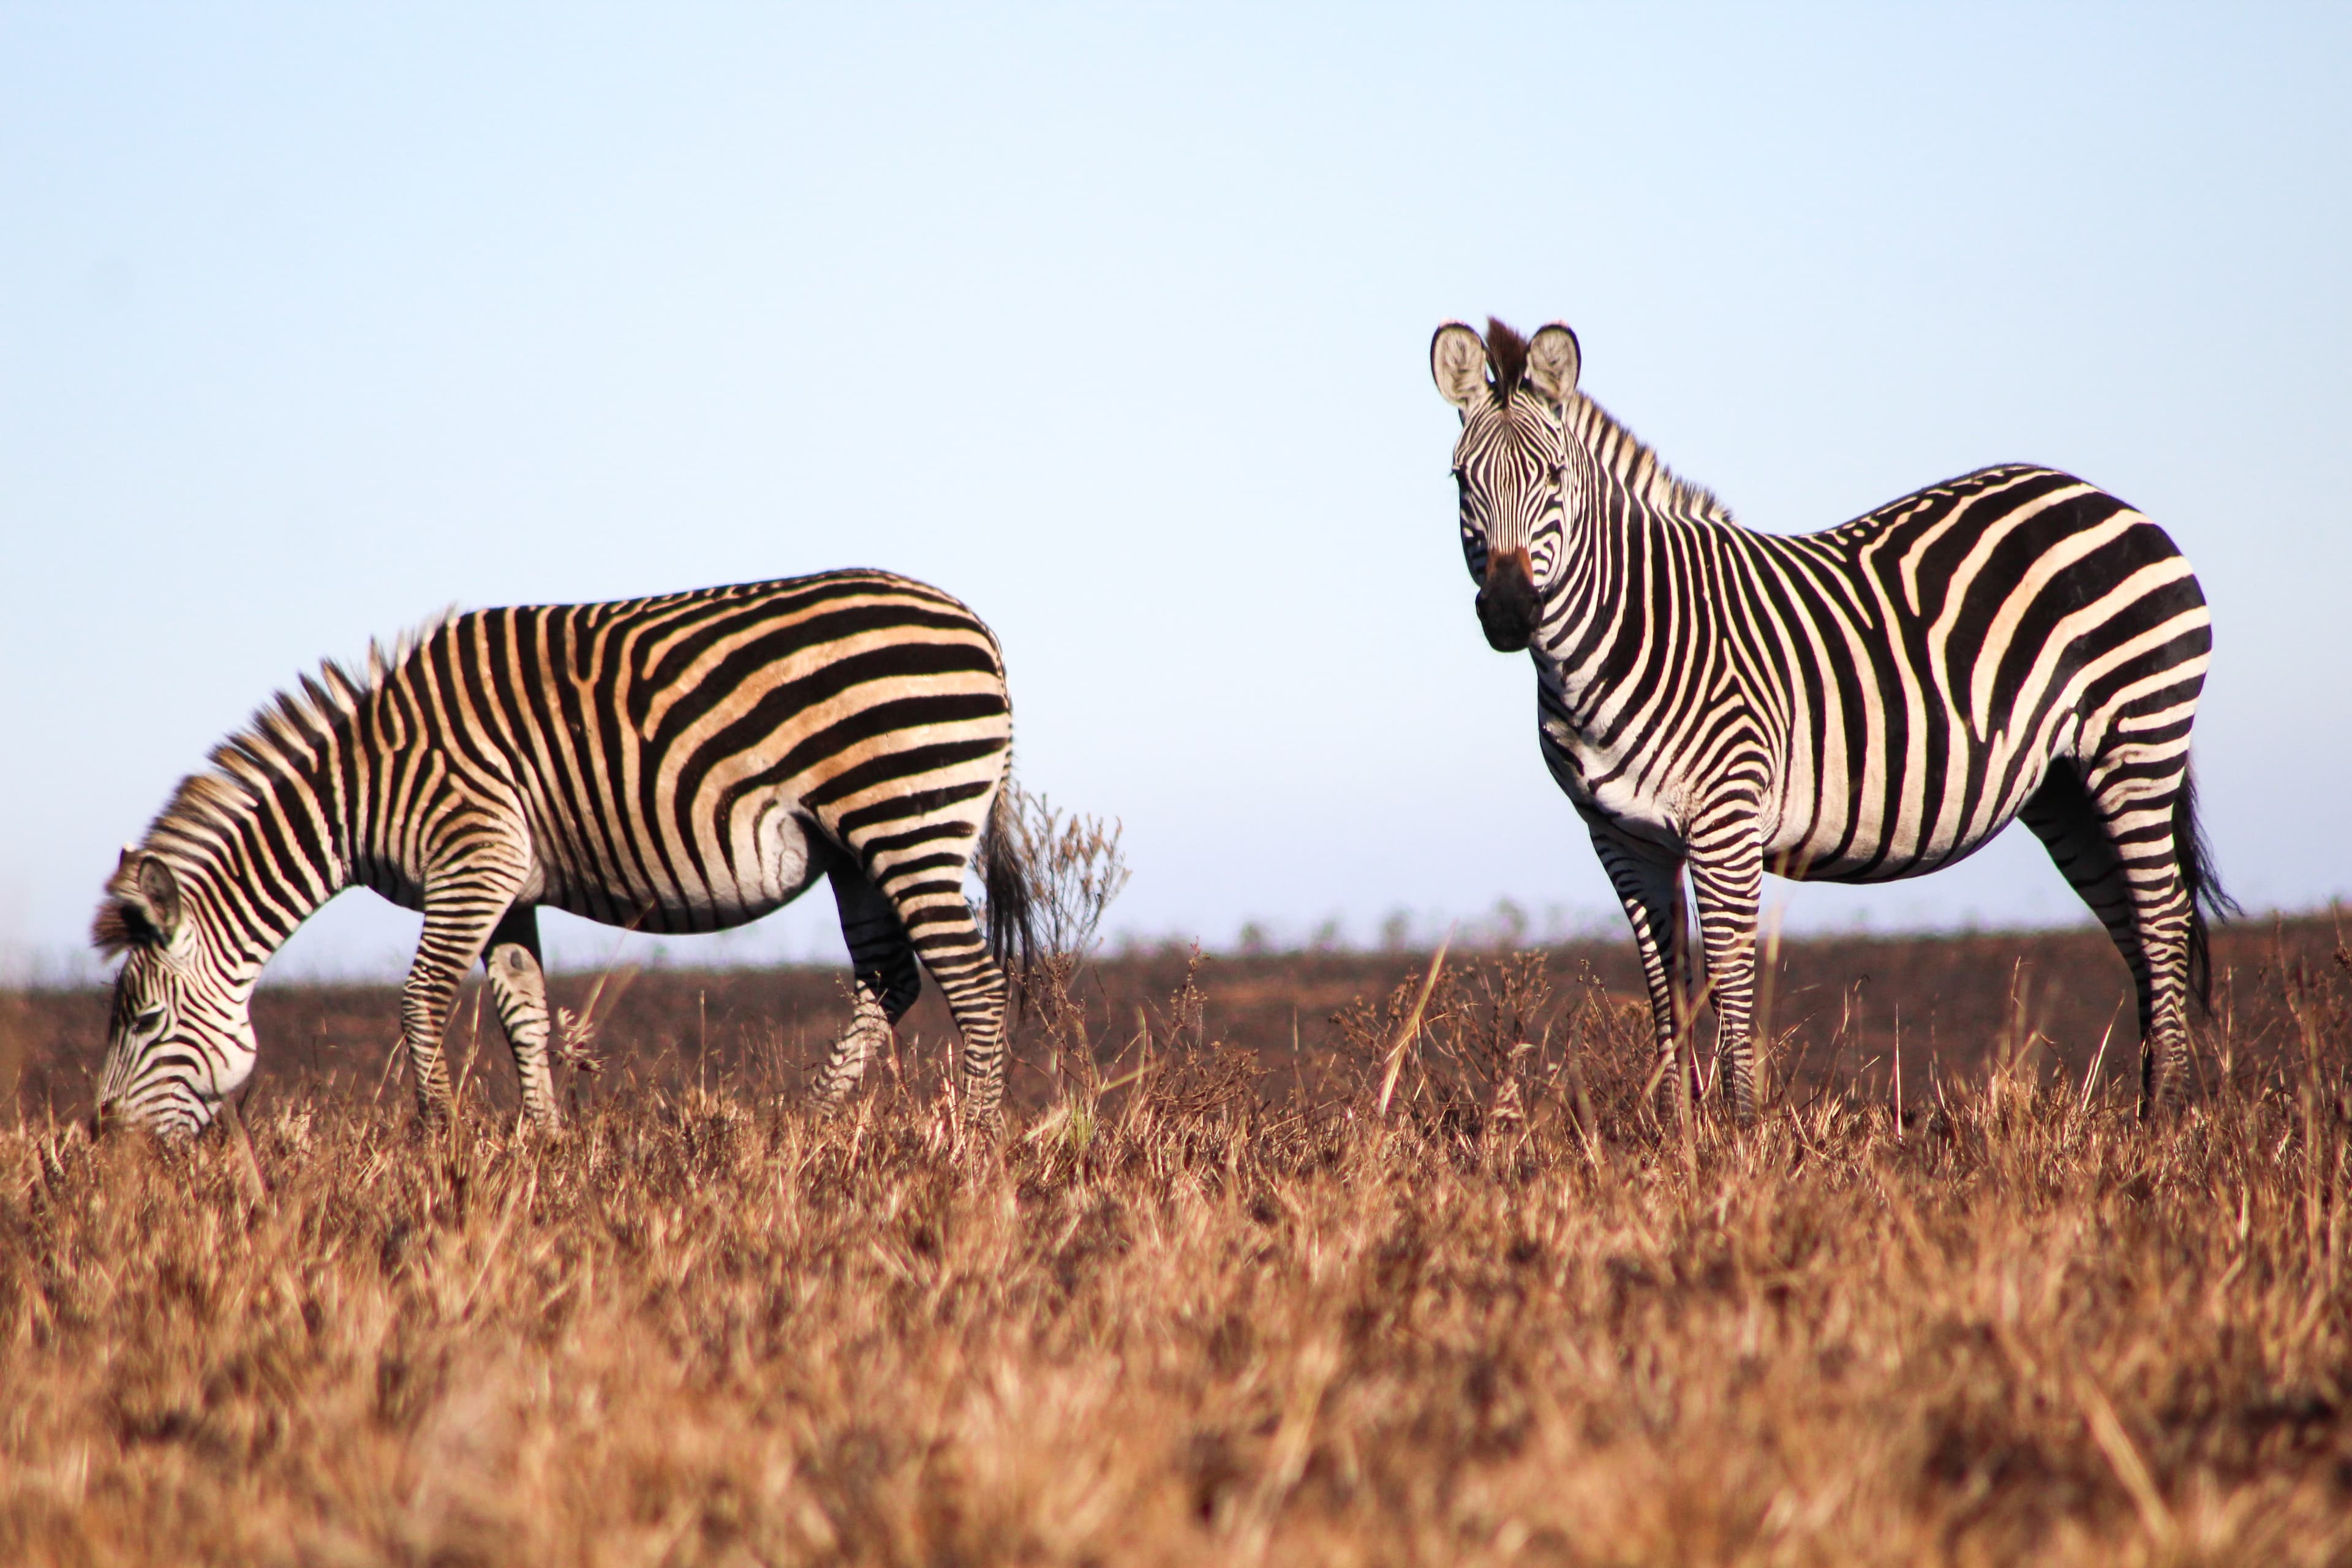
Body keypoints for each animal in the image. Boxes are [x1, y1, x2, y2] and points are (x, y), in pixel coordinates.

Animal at [92, 568, 1034, 1139]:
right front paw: (545, 1145)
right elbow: (523, 1011)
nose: (108, 1145)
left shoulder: (472, 859)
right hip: (854, 847)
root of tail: (978, 626)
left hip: (904, 817)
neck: (366, 785)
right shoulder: (510, 888)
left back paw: (978, 1147)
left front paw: (442, 1140)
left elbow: (421, 1001)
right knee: (891, 977)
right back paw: (808, 1125)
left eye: (143, 1024)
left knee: (975, 984)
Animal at [1431, 318, 2232, 1126]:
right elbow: (1666, 984)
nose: (1509, 611)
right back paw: (2146, 1107)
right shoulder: (1621, 838)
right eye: (1461, 482)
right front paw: (1676, 1132)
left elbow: (1730, 977)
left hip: (2137, 742)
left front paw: (1739, 1131)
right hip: (2064, 787)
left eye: (1553, 477)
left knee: (2163, 916)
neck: (1626, 631)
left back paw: (2167, 1116)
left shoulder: (1725, 821)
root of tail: (2108, 500)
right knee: (2133, 925)